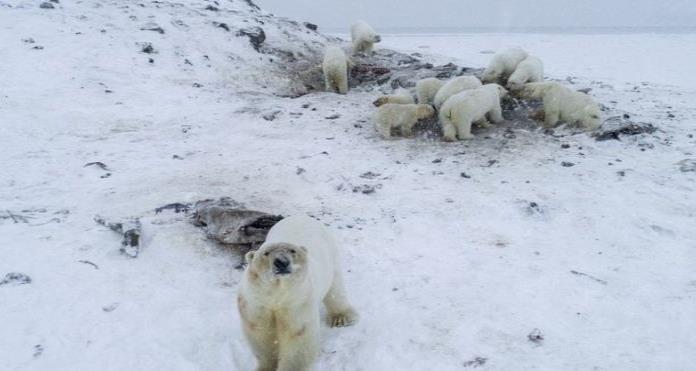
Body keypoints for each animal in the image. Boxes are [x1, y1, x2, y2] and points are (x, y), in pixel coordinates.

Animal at [239, 215, 358, 371]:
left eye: (292, 251)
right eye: (266, 253)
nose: (281, 262)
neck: (277, 294)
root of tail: (301, 216)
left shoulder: (297, 302)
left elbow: (298, 336)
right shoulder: (257, 303)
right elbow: (262, 334)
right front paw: (265, 367)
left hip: (330, 256)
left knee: (335, 287)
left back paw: (342, 317)